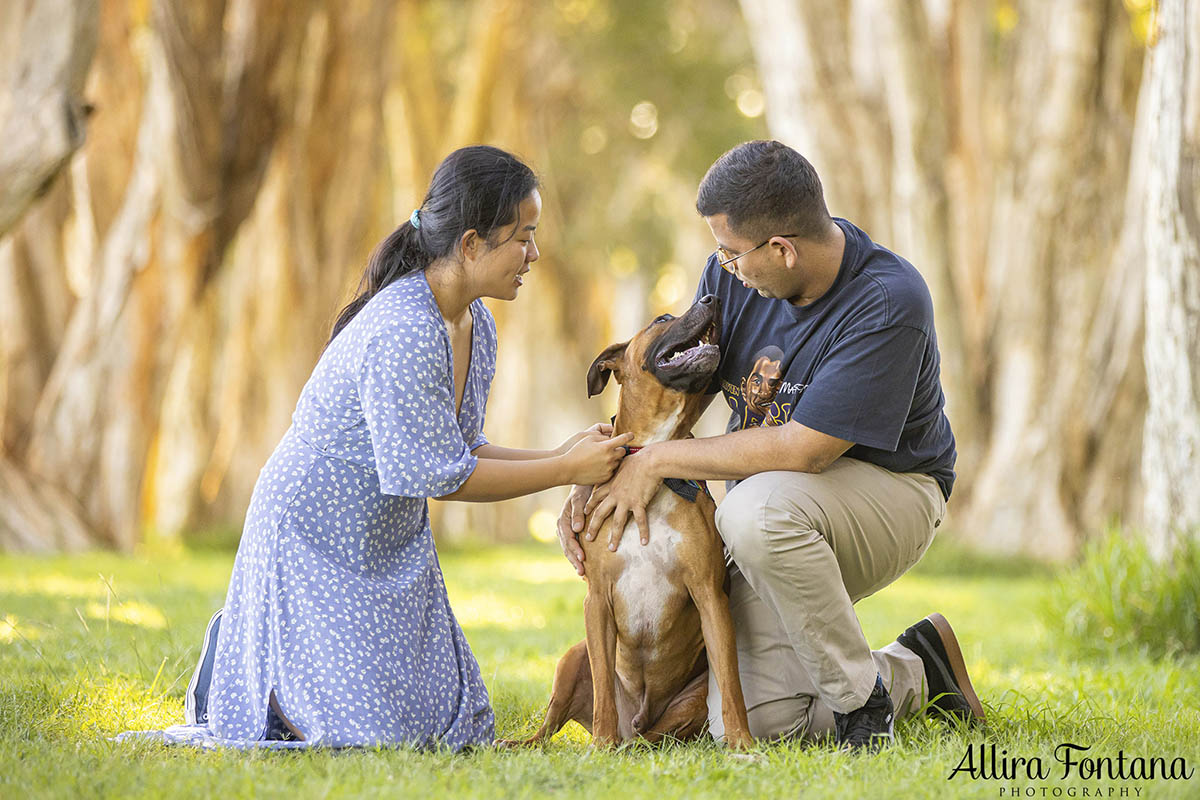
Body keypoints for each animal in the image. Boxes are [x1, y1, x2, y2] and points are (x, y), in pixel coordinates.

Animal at [506, 293, 748, 753]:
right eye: (663, 318)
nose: (712, 298)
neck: (650, 454)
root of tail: (638, 720)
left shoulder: (710, 596)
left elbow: (731, 682)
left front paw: (743, 742)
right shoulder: (597, 601)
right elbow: (603, 686)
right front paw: (600, 745)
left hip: (685, 703)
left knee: (655, 737)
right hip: (571, 658)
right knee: (550, 726)